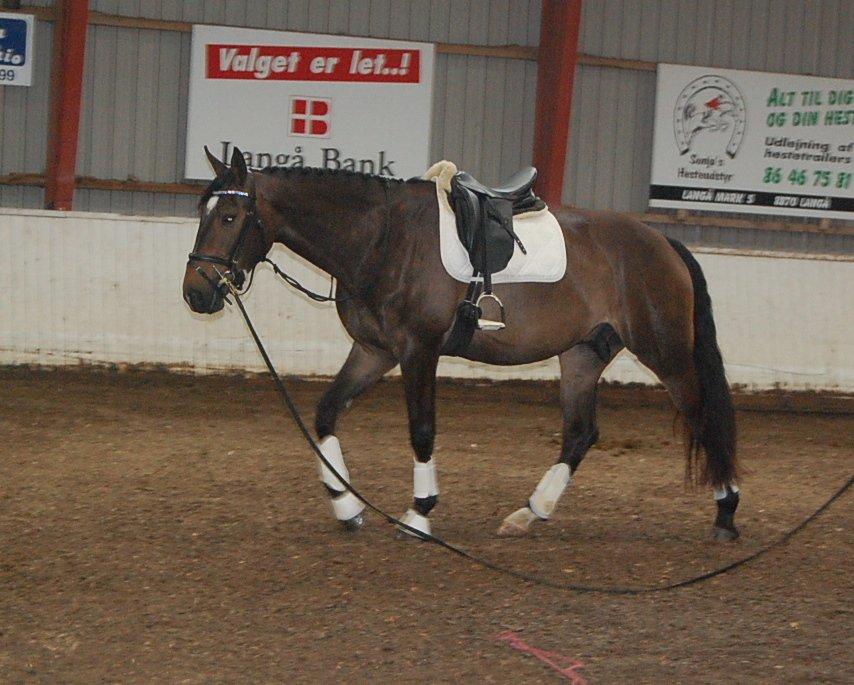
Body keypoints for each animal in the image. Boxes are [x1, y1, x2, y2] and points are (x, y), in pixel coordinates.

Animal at [182, 148, 744, 540]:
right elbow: (324, 414)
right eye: (202, 211)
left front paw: (419, 514)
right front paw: (346, 505)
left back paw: (726, 510)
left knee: (703, 415)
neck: (382, 238)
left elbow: (422, 431)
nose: (196, 292)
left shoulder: (418, 350)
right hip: (583, 354)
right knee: (581, 434)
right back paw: (529, 513)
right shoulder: (374, 352)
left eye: (229, 217)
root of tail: (660, 242)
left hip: (666, 353)